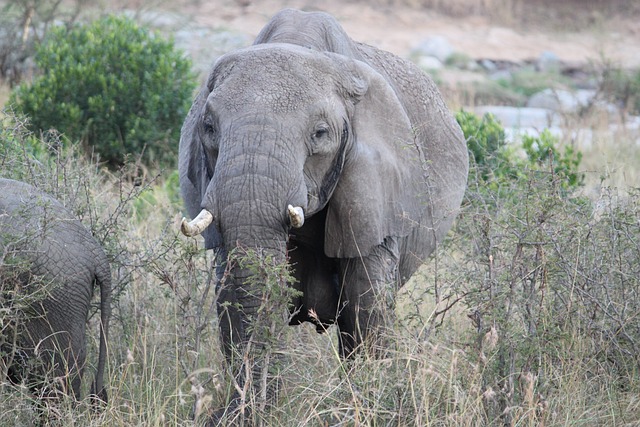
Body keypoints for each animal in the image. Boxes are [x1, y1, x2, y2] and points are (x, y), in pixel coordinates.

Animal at [180, 8, 470, 422]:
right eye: (208, 128)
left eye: (320, 134)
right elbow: (231, 292)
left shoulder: (376, 190)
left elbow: (366, 301)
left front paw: (365, 407)